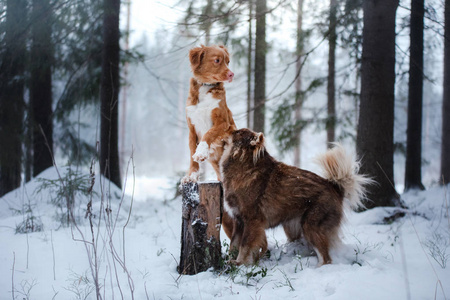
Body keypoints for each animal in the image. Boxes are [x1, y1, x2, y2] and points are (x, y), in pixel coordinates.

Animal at [182, 45, 237, 239]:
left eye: (228, 61)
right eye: (217, 60)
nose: (231, 74)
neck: (205, 88)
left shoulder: (223, 123)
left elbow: (208, 135)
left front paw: (202, 152)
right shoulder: (191, 129)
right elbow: (191, 155)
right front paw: (191, 176)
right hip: (226, 220)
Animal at [220, 129, 370, 268]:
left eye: (238, 133)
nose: (227, 130)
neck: (245, 166)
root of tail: (335, 187)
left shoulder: (252, 221)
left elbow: (244, 245)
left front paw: (240, 263)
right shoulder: (239, 221)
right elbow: (234, 244)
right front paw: (231, 261)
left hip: (310, 226)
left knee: (326, 258)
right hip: (293, 226)